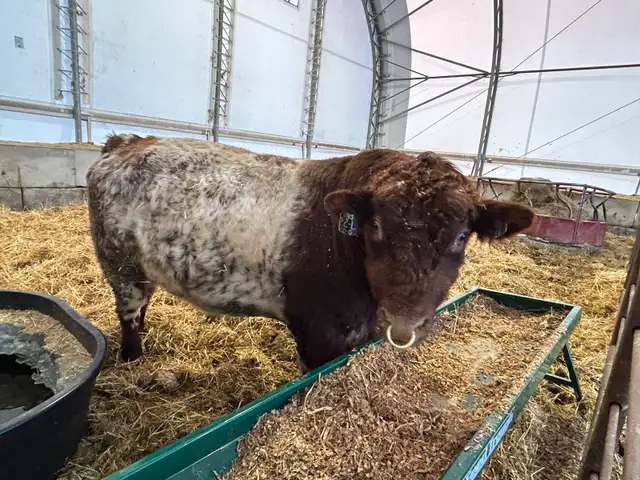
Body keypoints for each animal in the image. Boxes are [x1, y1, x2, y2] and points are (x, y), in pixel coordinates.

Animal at [86, 134, 534, 372]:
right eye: (375, 225)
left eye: (461, 237)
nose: (404, 322)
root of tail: (125, 142)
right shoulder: (318, 333)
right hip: (119, 264)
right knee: (129, 312)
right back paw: (132, 357)